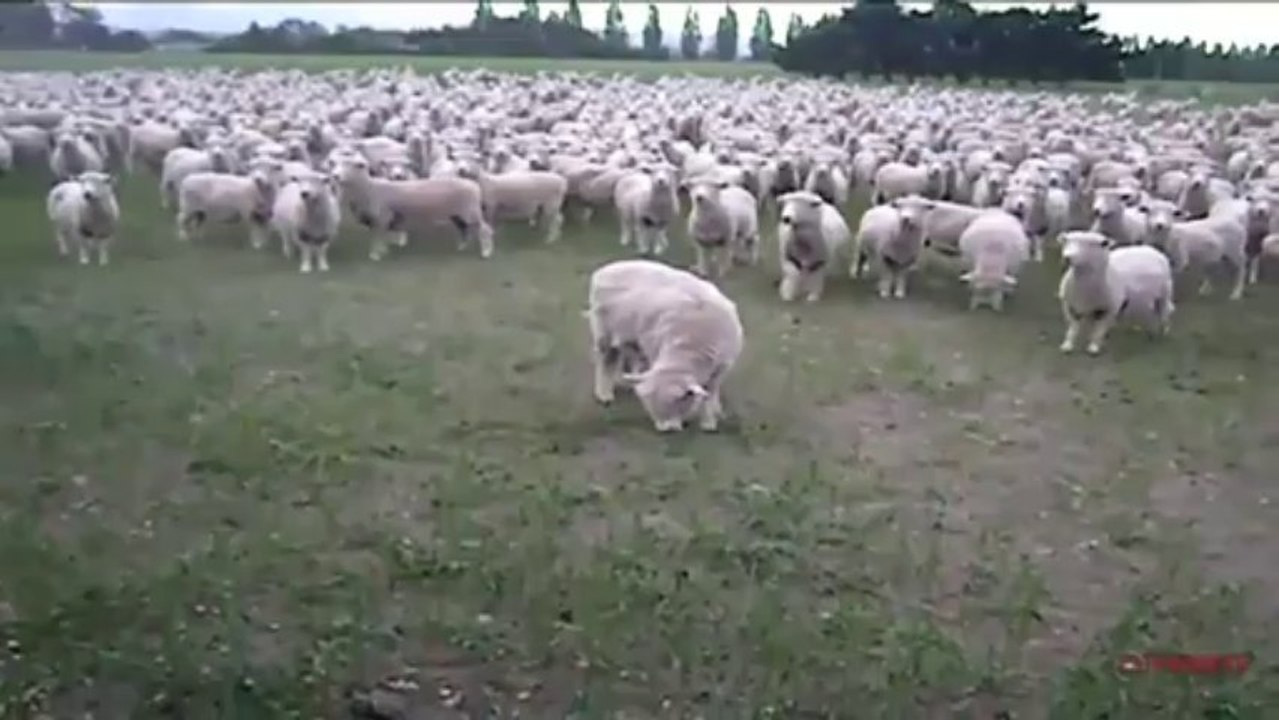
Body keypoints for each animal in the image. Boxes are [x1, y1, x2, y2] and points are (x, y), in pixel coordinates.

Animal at [335, 155, 493, 261]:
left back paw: (486, 253)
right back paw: (462, 247)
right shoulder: (381, 220)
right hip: (457, 214)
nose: (335, 176)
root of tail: (473, 185)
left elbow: (377, 237)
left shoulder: (382, 218)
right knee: (463, 228)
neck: (370, 188)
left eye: (354, 165)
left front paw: (375, 255)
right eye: (337, 164)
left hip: (471, 212)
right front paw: (383, 251)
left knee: (485, 230)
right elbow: (382, 236)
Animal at [585, 258, 743, 433]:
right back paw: (604, 394)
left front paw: (710, 420)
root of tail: (606, 269)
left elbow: (711, 393)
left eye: (678, 401)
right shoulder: (655, 350)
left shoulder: (722, 368)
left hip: (631, 336)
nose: (667, 430)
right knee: (606, 361)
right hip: (604, 330)